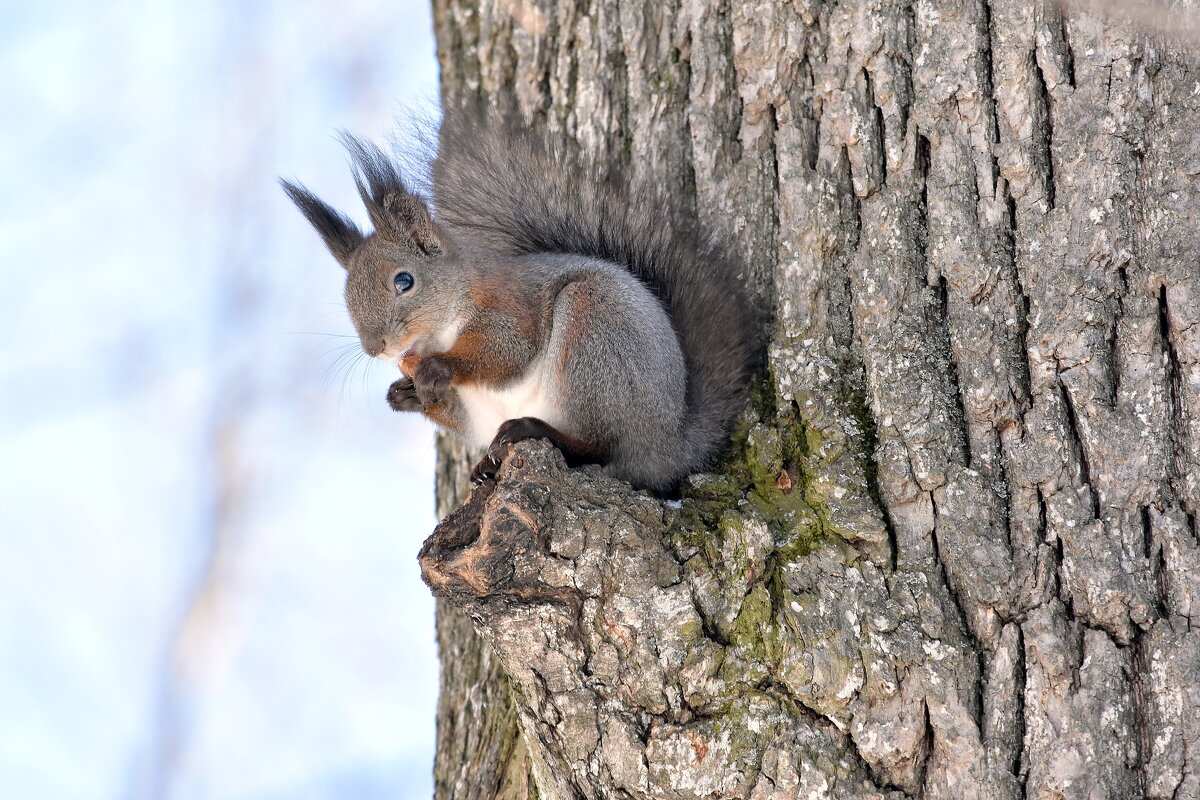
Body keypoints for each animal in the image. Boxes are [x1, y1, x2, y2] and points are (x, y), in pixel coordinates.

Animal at [280, 108, 753, 491]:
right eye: (347, 298)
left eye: (404, 281)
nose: (376, 348)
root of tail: (671, 443)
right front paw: (404, 394)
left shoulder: (511, 306)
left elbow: (508, 353)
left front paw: (439, 368)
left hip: (595, 335)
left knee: (601, 448)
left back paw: (537, 431)